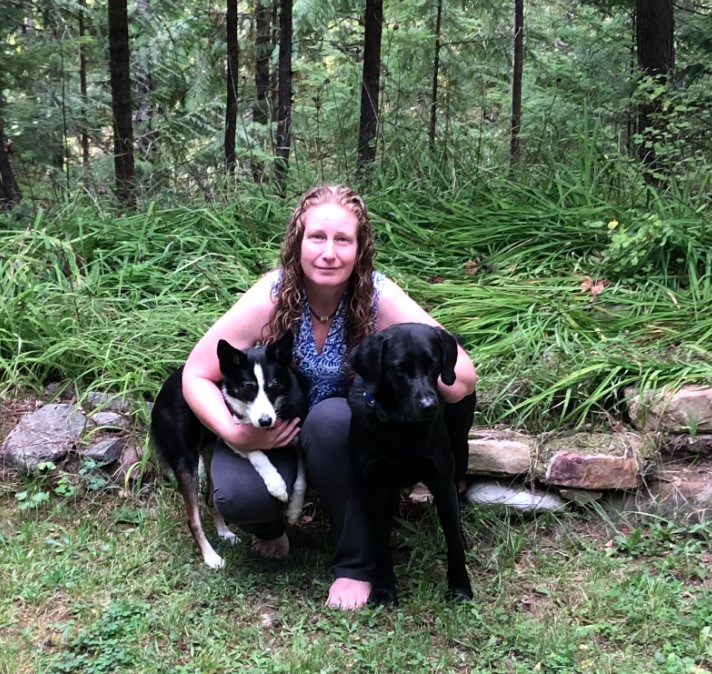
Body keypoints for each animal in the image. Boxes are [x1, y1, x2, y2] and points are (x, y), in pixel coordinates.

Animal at [150, 330, 306, 568]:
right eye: (247, 388)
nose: (265, 421)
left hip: (209, 450)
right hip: (186, 463)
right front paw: (276, 484)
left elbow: (302, 477)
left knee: (209, 498)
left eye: (273, 385)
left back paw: (224, 532)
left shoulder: (297, 436)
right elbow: (258, 455)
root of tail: (161, 392)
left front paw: (295, 509)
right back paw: (211, 556)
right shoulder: (234, 435)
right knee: (193, 519)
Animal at [346, 320, 472, 604]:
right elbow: (380, 543)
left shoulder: (442, 482)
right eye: (399, 369)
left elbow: (453, 542)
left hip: (461, 446)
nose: (429, 405)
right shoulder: (374, 485)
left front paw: (460, 586)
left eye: (433, 364)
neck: (400, 428)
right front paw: (383, 589)